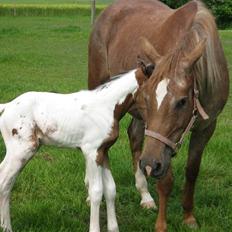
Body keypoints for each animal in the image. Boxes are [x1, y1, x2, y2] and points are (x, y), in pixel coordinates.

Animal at [0, 67, 150, 232]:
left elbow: (110, 189)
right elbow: (96, 191)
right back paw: (7, 227)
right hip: (22, 150)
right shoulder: (92, 152)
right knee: (4, 182)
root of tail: (6, 106)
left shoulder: (103, 152)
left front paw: (113, 228)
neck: (107, 106)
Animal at [88, 0, 228, 232]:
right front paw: (162, 224)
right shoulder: (160, 143)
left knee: (135, 137)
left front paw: (188, 216)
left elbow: (192, 171)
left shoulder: (206, 127)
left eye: (182, 101)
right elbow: (166, 180)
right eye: (146, 96)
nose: (149, 164)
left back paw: (145, 195)